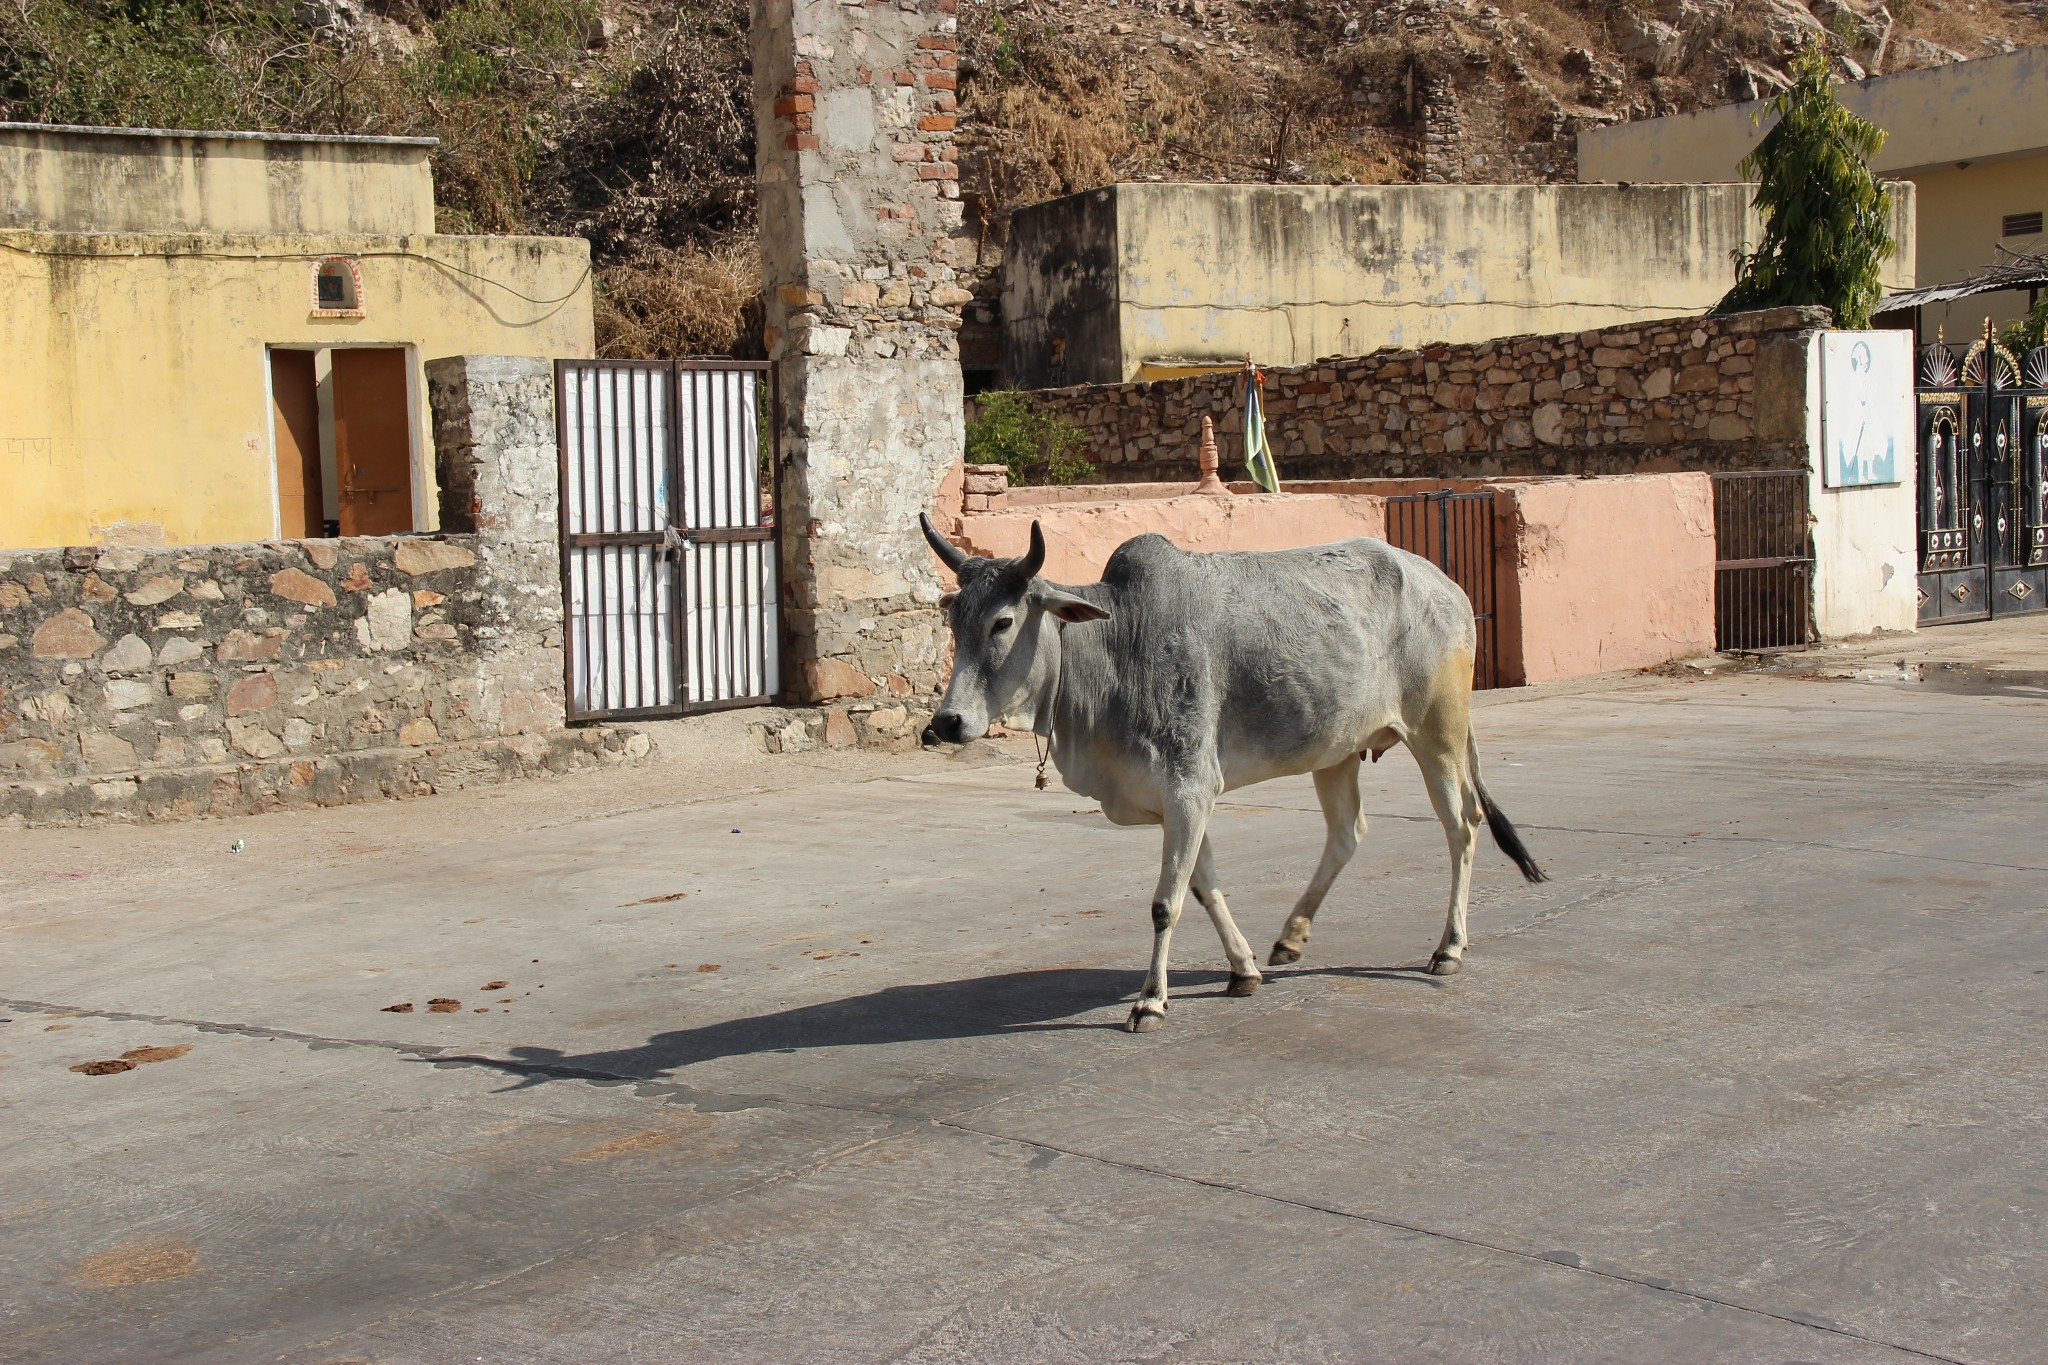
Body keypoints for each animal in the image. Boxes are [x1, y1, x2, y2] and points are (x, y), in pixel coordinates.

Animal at [921, 517, 1540, 1031]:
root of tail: (1446, 586)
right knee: (1347, 834)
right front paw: (1243, 970)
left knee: (1462, 825)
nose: (947, 723)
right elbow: (1202, 885)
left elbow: (1165, 903)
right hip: (1337, 751)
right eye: (954, 620)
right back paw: (1291, 938)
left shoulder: (1190, 788)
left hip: (1438, 733)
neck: (1116, 649)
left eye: (1003, 621)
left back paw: (1449, 948)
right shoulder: (1179, 801)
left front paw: (1150, 1001)